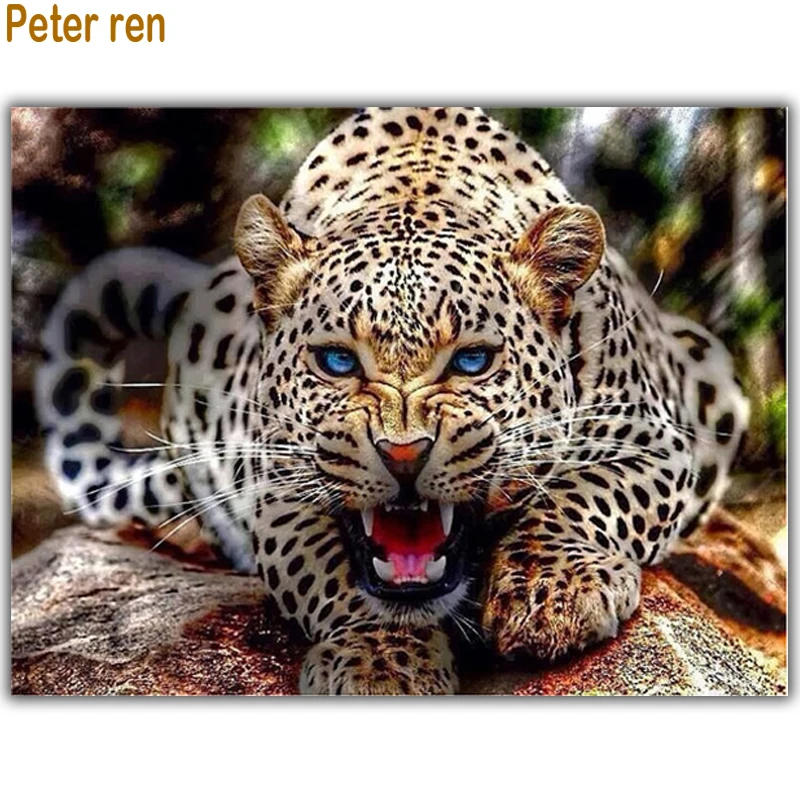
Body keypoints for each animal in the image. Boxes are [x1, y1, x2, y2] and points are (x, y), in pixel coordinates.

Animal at [35, 107, 749, 694]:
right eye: (337, 361)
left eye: (471, 361)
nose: (403, 454)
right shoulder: (274, 485)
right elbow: (335, 573)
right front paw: (379, 660)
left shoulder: (655, 439)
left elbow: (584, 498)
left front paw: (554, 596)